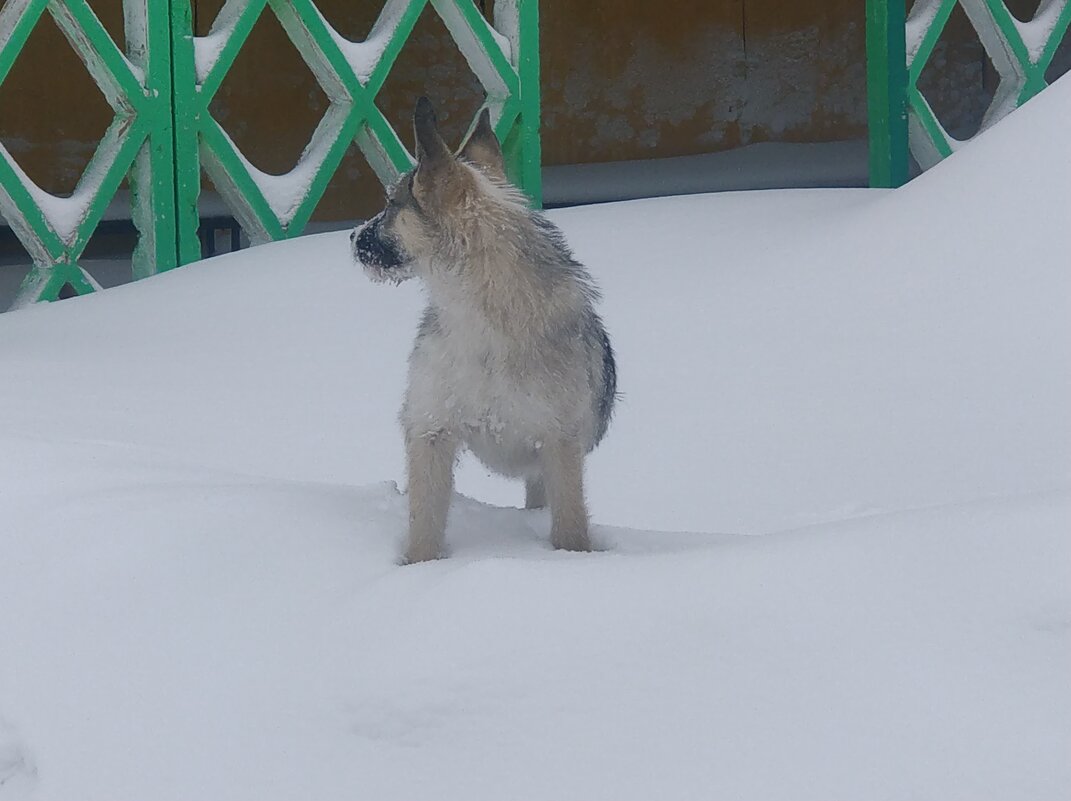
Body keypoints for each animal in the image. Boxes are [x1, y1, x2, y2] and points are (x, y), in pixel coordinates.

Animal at [353, 98, 616, 561]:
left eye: (390, 205)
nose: (351, 238)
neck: (484, 321)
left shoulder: (559, 445)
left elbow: (570, 528)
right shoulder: (430, 430)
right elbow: (424, 525)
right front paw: (419, 570)